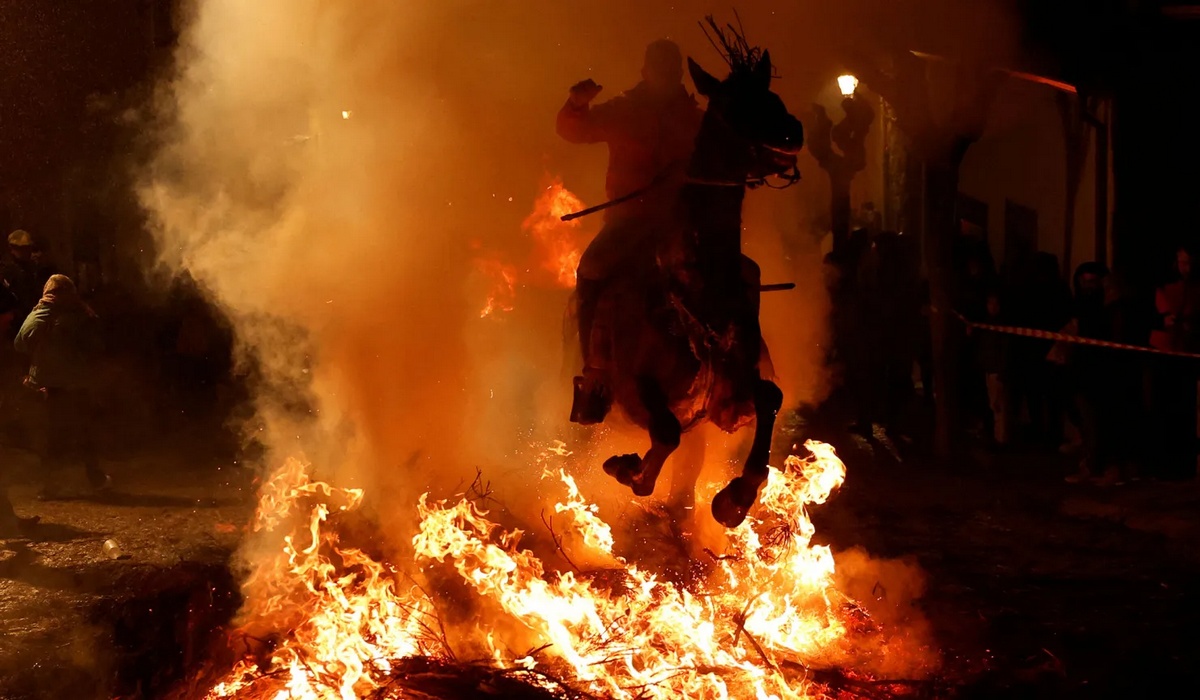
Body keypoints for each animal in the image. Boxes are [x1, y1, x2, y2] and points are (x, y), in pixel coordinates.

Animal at [573, 43, 806, 528]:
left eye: (772, 96)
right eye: (735, 103)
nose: (792, 133)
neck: (700, 288)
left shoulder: (734, 398)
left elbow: (769, 397)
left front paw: (734, 499)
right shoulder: (636, 387)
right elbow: (665, 433)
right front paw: (628, 470)